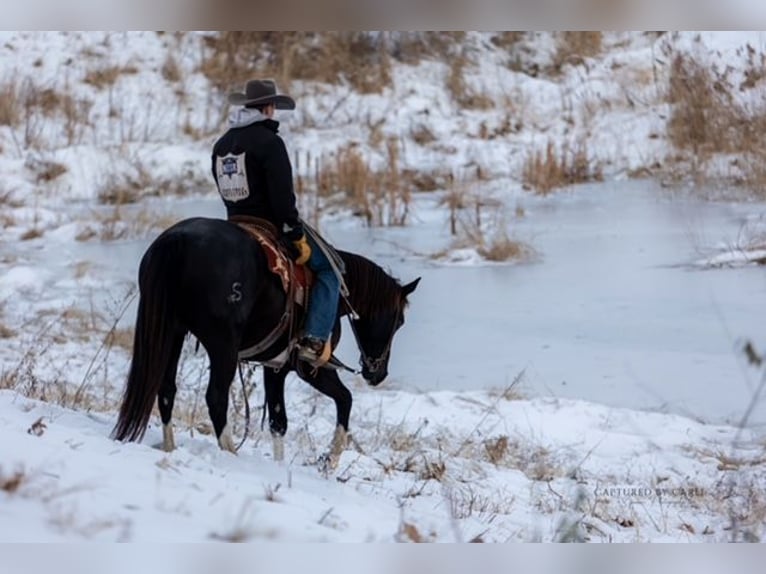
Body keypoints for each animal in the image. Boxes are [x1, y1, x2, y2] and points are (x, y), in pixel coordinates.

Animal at [111, 216, 419, 465]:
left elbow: (277, 421)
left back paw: (170, 448)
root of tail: (178, 240)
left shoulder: (275, 366)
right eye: (399, 322)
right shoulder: (309, 368)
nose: (377, 373)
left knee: (166, 390)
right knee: (216, 397)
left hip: (172, 334)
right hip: (222, 345)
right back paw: (230, 453)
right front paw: (330, 459)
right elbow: (345, 399)